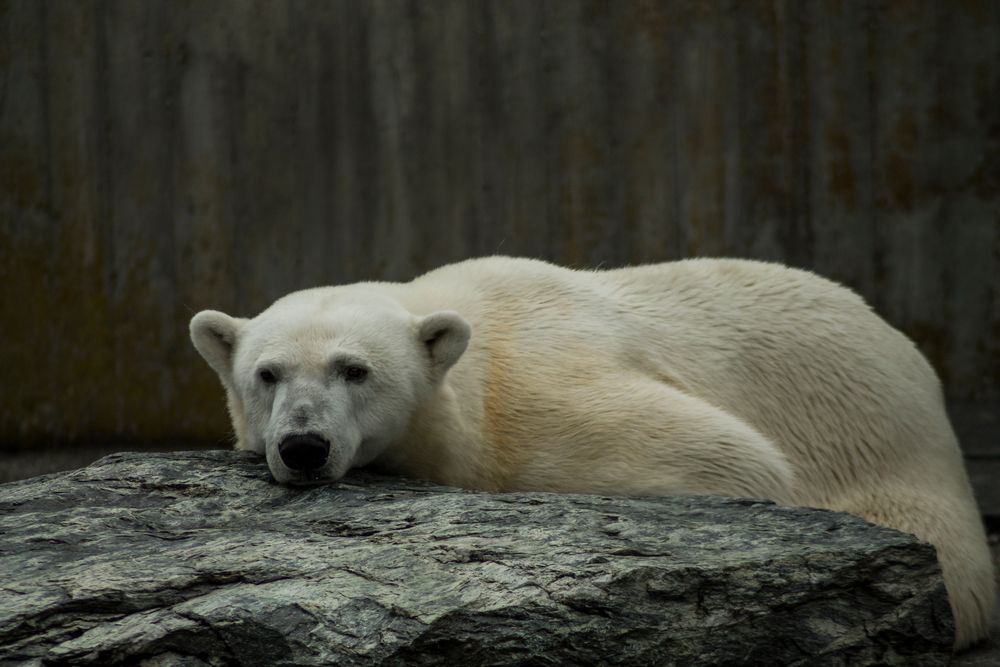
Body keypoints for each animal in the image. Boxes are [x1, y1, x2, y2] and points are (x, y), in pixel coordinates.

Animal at [191, 256, 996, 648]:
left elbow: (732, 455)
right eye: (267, 374)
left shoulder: (539, 391)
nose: (303, 446)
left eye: (354, 369)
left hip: (884, 446)